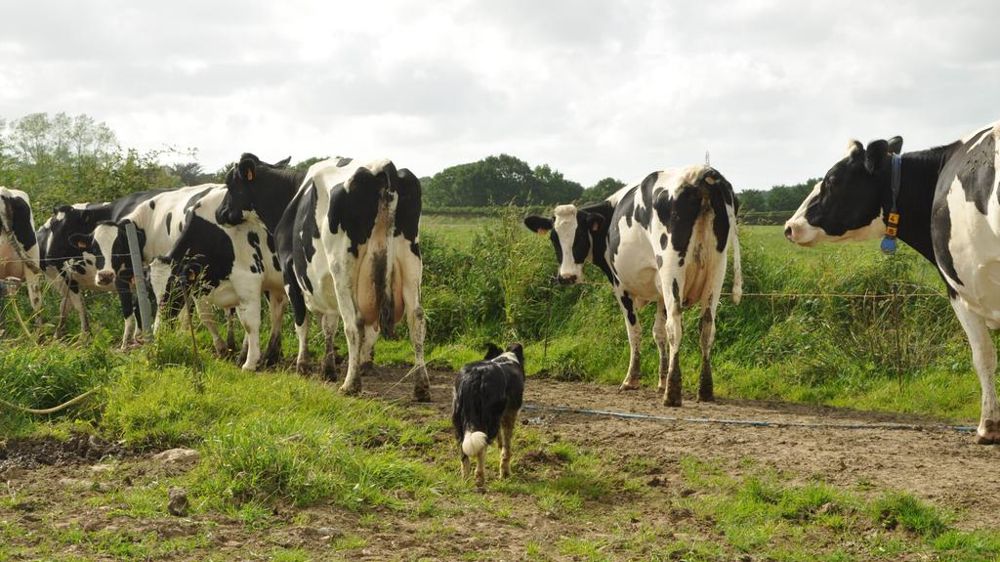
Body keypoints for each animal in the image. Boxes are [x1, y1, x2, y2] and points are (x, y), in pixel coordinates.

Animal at [148, 187, 286, 371]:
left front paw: (250, 363)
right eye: (152, 291)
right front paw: (223, 350)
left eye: (176, 286)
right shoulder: (202, 285)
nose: (159, 330)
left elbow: (250, 323)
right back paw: (272, 355)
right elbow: (206, 317)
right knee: (277, 311)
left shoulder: (248, 280)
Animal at [215, 153, 430, 400]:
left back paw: (351, 383)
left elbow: (302, 323)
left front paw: (302, 366)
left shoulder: (291, 274)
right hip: (411, 262)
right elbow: (329, 325)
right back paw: (421, 386)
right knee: (416, 319)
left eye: (231, 183)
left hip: (342, 270)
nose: (218, 213)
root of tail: (382, 167)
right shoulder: (322, 282)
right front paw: (327, 369)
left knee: (354, 323)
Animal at [452, 343, 525, 489]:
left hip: (458, 419)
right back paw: (480, 479)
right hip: (488, 420)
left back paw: (465, 480)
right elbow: (506, 449)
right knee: (481, 449)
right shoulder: (510, 414)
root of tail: (475, 375)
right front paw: (505, 474)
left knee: (463, 453)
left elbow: (501, 443)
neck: (506, 358)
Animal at [524, 165, 742, 406]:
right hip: (716, 271)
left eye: (579, 235)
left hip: (671, 269)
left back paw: (672, 394)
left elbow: (635, 331)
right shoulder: (660, 293)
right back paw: (704, 390)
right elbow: (658, 333)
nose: (566, 277)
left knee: (675, 327)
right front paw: (661, 381)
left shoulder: (621, 286)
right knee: (706, 327)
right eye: (554, 238)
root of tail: (701, 172)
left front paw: (632, 379)